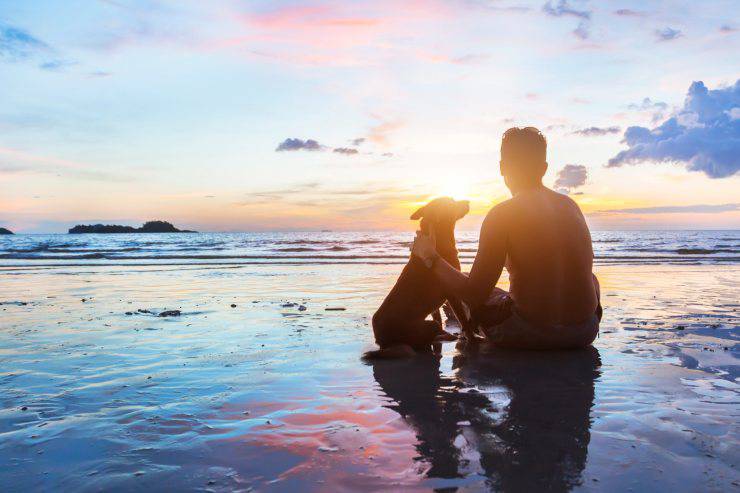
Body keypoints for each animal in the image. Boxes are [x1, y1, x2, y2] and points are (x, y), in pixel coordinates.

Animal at [364, 196, 474, 358]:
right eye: (451, 203)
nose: (468, 202)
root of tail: (384, 344)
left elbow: (437, 314)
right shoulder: (451, 292)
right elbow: (462, 319)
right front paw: (472, 338)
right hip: (427, 327)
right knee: (427, 340)